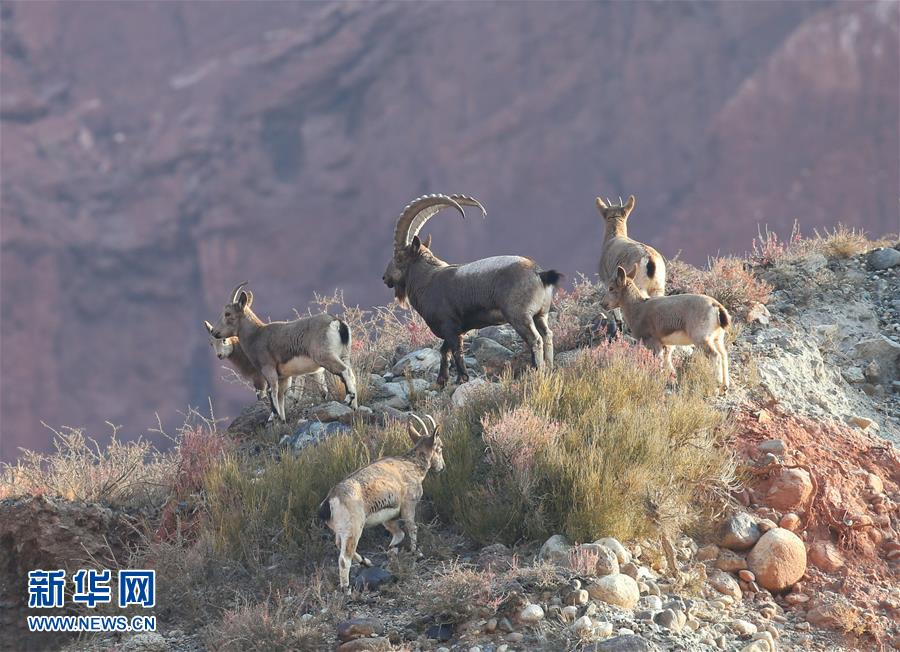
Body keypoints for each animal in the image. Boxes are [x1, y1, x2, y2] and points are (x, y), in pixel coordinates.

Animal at [211, 282, 358, 420]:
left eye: (228, 314)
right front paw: (282, 420)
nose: (214, 332)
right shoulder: (284, 376)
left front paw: (273, 418)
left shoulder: (268, 370)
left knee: (344, 370)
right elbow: (281, 398)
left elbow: (272, 392)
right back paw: (354, 406)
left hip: (325, 357)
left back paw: (348, 398)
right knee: (351, 374)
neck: (257, 335)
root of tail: (337, 323)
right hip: (344, 355)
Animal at [318, 416, 444, 592]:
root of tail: (330, 501)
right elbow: (412, 527)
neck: (412, 465)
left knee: (339, 544)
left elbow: (398, 533)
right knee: (344, 557)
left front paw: (392, 548)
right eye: (440, 447)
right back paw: (346, 588)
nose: (442, 467)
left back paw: (366, 562)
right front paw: (416, 552)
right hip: (353, 527)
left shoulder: (388, 516)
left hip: (340, 529)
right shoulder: (408, 505)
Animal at [382, 194, 564, 388]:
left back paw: (538, 370)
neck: (427, 279)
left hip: (520, 316)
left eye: (399, 257)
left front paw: (462, 377)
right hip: (541, 314)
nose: (385, 278)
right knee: (547, 334)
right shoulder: (455, 328)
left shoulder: (449, 325)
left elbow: (456, 350)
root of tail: (539, 274)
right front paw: (442, 380)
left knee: (535, 340)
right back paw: (549, 368)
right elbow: (444, 350)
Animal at [600, 264, 728, 390]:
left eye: (611, 288)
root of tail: (717, 307)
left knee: (715, 355)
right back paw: (725, 386)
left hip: (701, 338)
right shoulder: (667, 345)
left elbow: (659, 362)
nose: (602, 304)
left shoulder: (653, 341)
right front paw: (672, 381)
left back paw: (718, 384)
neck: (637, 309)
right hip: (717, 338)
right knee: (723, 355)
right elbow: (669, 364)